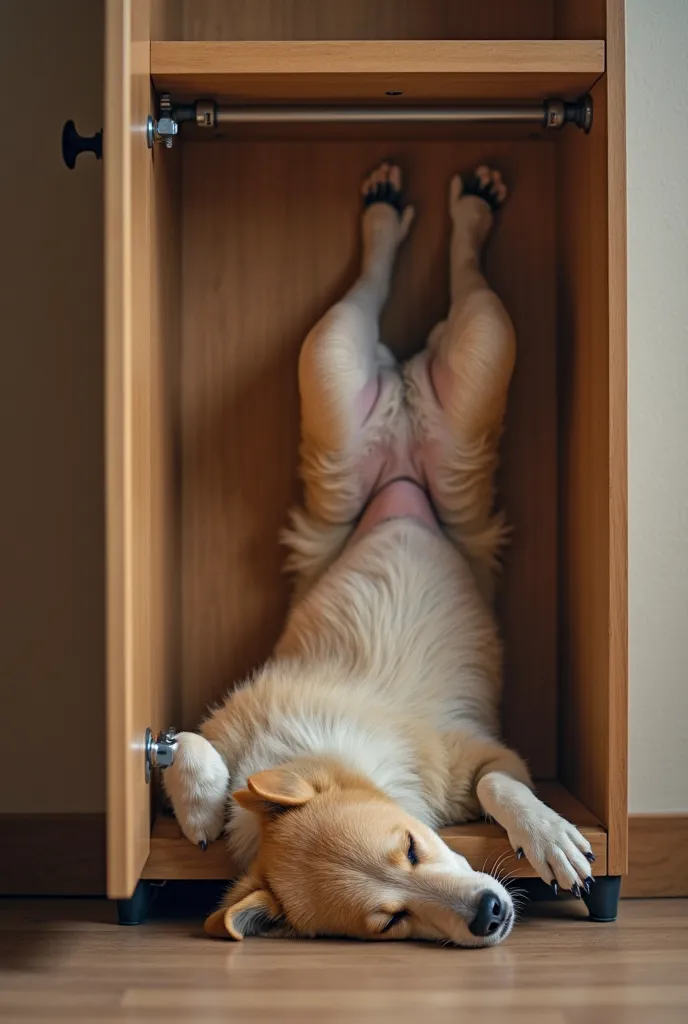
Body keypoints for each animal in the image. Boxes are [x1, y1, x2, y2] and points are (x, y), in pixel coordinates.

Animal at [162, 163, 597, 946]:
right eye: (390, 921)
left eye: (414, 844)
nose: (490, 912)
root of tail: (400, 448)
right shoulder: (209, 727)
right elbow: (181, 739)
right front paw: (203, 807)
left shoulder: (482, 752)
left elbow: (504, 784)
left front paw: (548, 834)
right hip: (340, 383)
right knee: (376, 283)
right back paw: (395, 212)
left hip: (474, 353)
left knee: (456, 282)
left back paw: (459, 205)